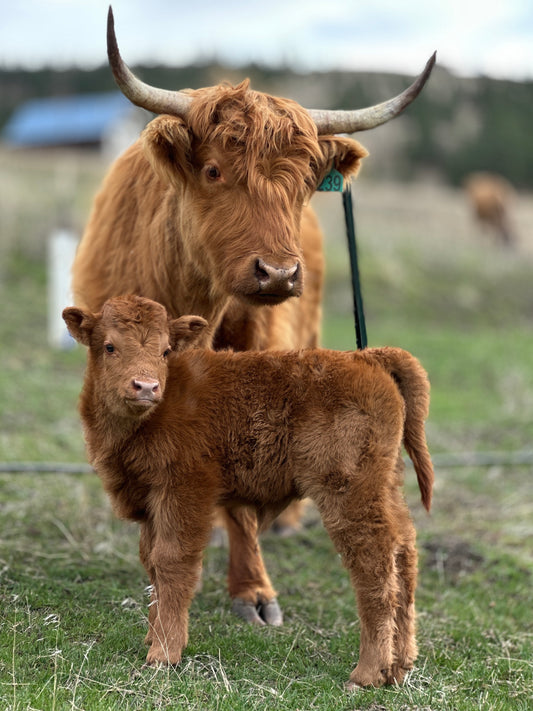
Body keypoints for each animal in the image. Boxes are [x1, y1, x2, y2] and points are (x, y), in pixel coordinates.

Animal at [63, 294, 434, 689]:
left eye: (165, 350)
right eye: (109, 346)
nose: (146, 386)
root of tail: (365, 358)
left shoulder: (184, 493)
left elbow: (173, 562)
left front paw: (163, 653)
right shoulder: (150, 502)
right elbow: (152, 563)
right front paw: (153, 636)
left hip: (348, 494)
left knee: (374, 564)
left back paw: (367, 673)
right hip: (385, 488)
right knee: (404, 551)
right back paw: (399, 666)